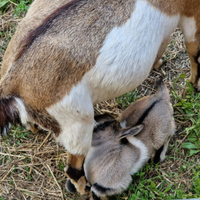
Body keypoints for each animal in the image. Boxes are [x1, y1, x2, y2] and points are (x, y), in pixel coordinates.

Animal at [0, 0, 199, 196]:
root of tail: (15, 82)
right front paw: (193, 86)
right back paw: (83, 189)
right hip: (78, 124)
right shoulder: (191, 15)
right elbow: (194, 51)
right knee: (73, 168)